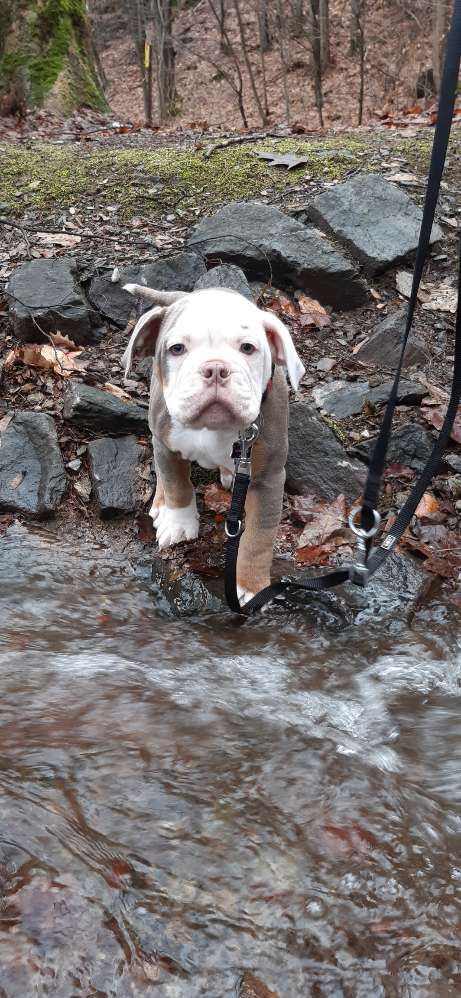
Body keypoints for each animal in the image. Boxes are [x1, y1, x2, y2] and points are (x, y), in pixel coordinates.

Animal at [120, 286, 304, 604]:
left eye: (247, 348)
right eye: (177, 348)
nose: (216, 368)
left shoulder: (268, 478)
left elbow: (259, 537)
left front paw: (251, 586)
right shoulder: (168, 445)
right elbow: (177, 487)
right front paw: (179, 525)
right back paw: (161, 505)